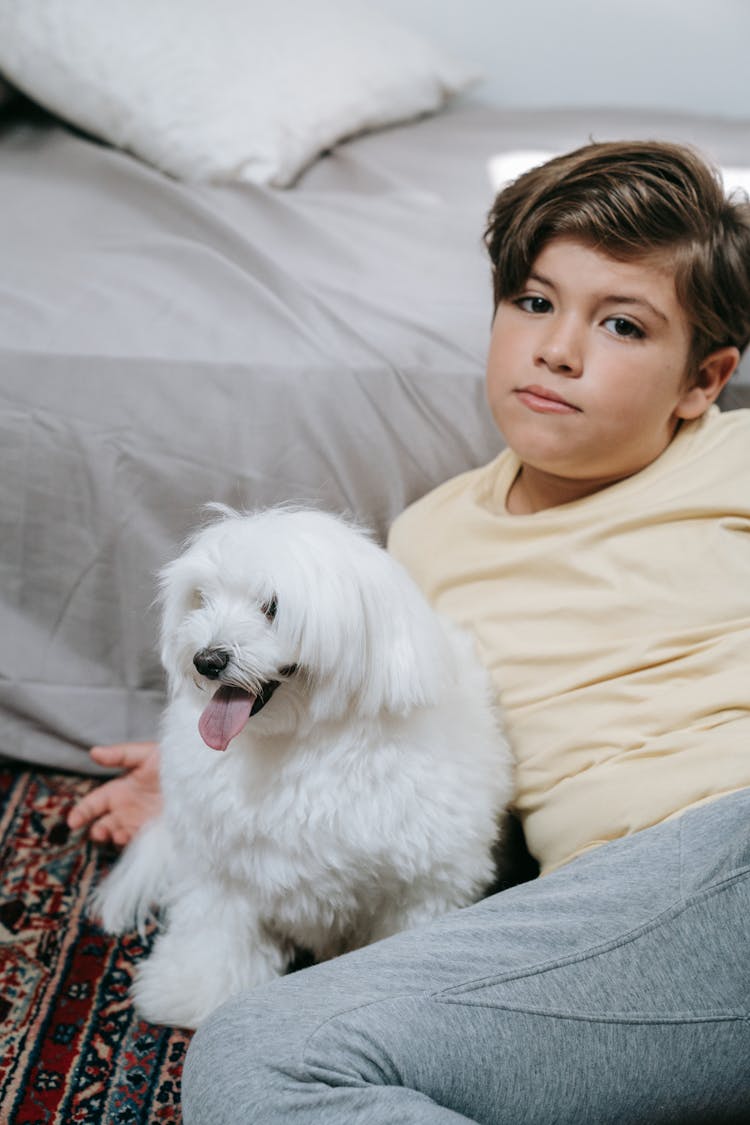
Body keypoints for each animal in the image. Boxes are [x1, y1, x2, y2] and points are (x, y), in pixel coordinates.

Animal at [92, 510, 517, 1030]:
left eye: (273, 607)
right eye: (203, 598)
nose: (206, 659)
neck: (299, 743)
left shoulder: (424, 884)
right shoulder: (222, 869)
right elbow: (215, 934)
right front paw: (193, 992)